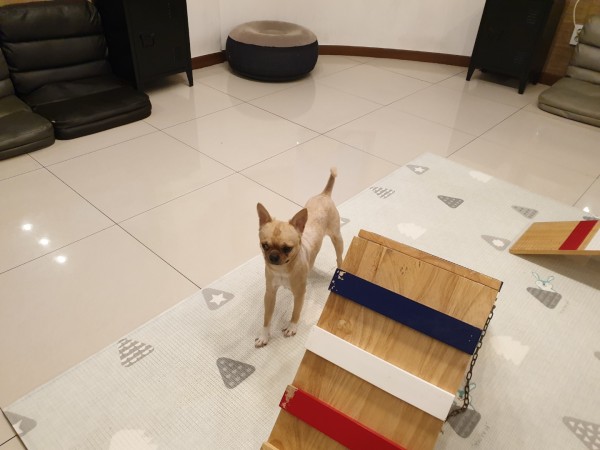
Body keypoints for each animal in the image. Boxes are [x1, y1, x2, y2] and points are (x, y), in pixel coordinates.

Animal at [255, 168, 344, 347]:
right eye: (264, 245)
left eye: (287, 248)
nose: (273, 256)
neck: (283, 270)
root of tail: (324, 194)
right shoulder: (270, 294)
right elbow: (267, 318)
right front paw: (264, 335)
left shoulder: (299, 294)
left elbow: (296, 312)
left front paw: (292, 327)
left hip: (337, 237)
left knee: (339, 256)